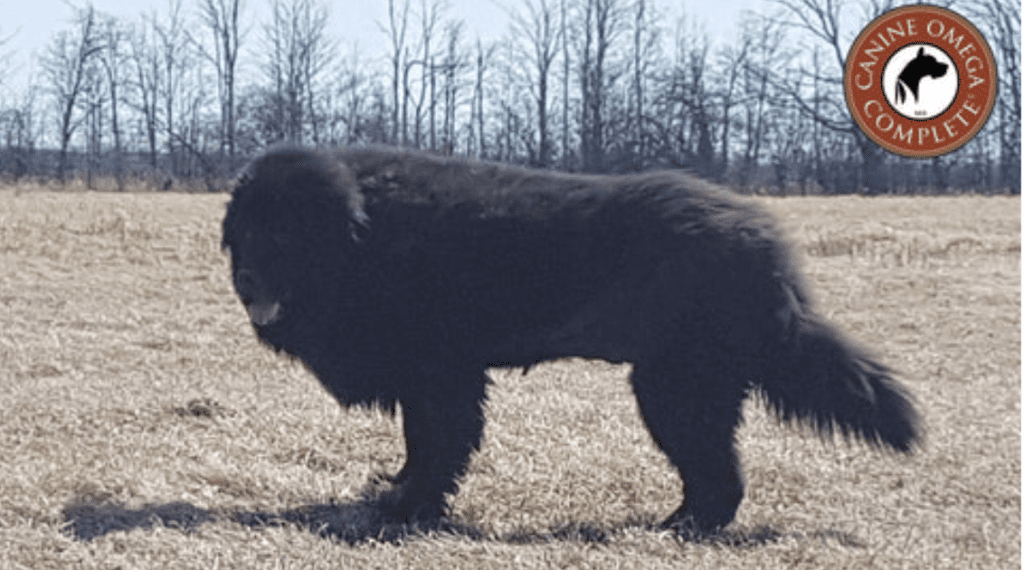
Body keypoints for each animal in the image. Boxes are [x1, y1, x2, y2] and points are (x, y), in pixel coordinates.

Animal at [222, 145, 921, 532]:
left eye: (283, 233)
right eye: (245, 231)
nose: (247, 279)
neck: (361, 236)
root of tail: (762, 243)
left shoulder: (443, 375)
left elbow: (437, 446)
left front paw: (409, 507)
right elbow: (419, 448)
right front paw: (398, 490)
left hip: (675, 387)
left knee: (715, 472)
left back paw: (680, 527)